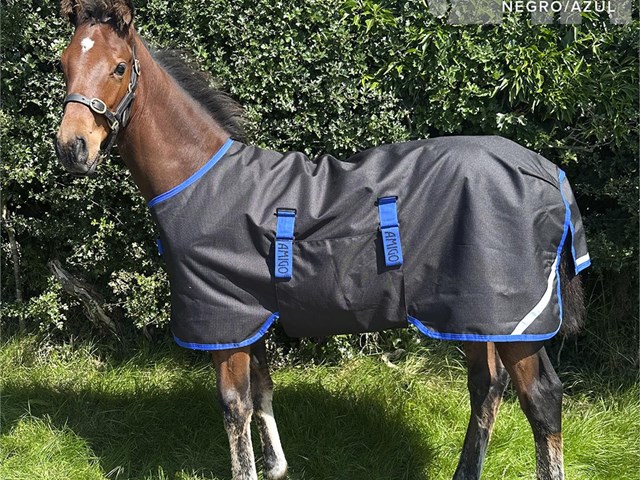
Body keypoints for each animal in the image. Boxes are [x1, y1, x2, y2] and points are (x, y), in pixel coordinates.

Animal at [54, 2, 590, 479]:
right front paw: (277, 468)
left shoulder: (226, 316)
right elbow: (262, 390)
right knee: (488, 388)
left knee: (541, 400)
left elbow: (234, 406)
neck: (202, 178)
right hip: (473, 315)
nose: (72, 147)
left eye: (119, 67)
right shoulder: (251, 314)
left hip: (513, 319)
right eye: (64, 64)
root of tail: (548, 171)